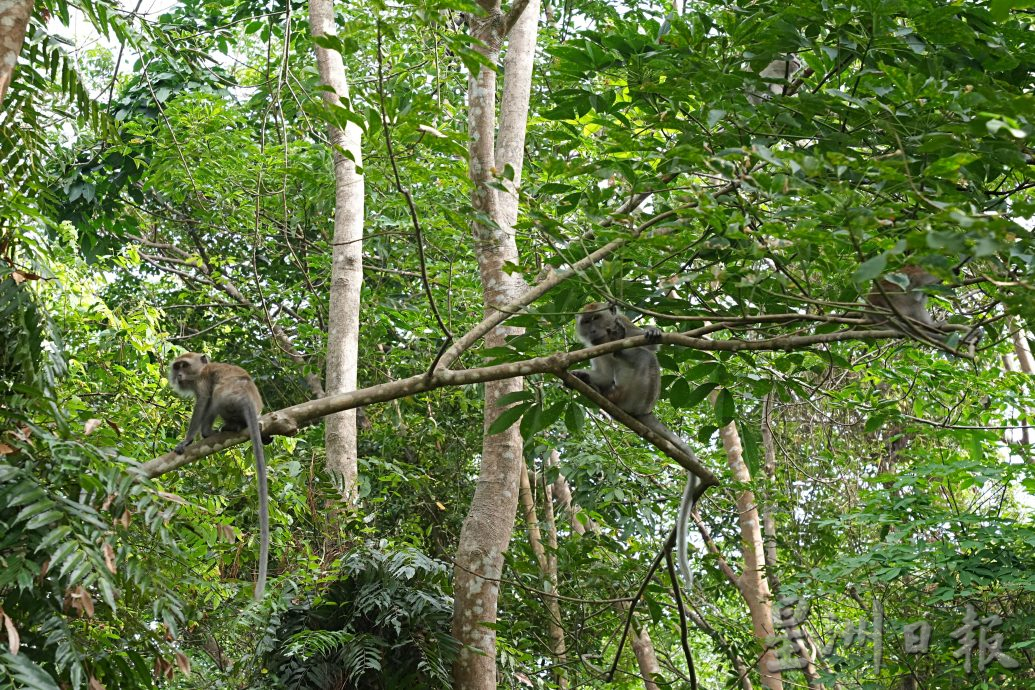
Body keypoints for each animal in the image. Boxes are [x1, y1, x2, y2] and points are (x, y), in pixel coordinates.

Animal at [168, 353, 271, 600]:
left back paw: (209, 432)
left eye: (184, 365)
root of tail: (248, 398)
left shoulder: (202, 381)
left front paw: (188, 440)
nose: (179, 375)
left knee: (213, 400)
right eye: (177, 366)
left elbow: (203, 402)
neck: (202, 369)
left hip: (228, 399)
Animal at [571, 302, 707, 587]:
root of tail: (645, 410)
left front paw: (650, 331)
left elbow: (651, 348)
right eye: (586, 322)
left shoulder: (624, 323)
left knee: (645, 358)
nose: (592, 331)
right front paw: (582, 374)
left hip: (639, 395)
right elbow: (602, 372)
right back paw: (599, 389)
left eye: (596, 318)